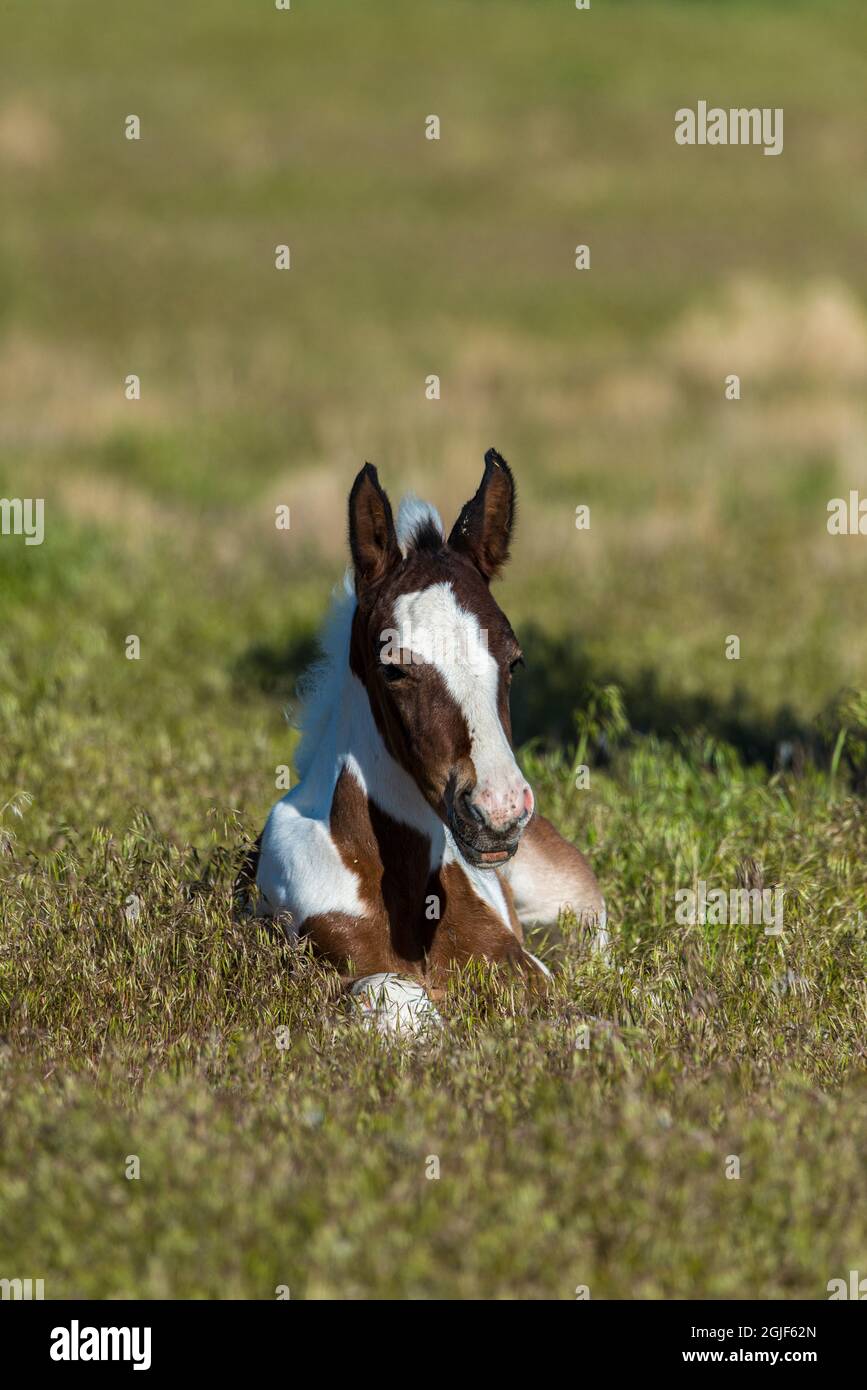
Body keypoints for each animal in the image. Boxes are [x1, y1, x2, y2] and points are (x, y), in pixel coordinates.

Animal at [244, 448, 606, 1034]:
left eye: (515, 660)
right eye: (393, 667)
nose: (499, 811)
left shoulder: (527, 965)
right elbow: (394, 996)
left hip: (569, 901)